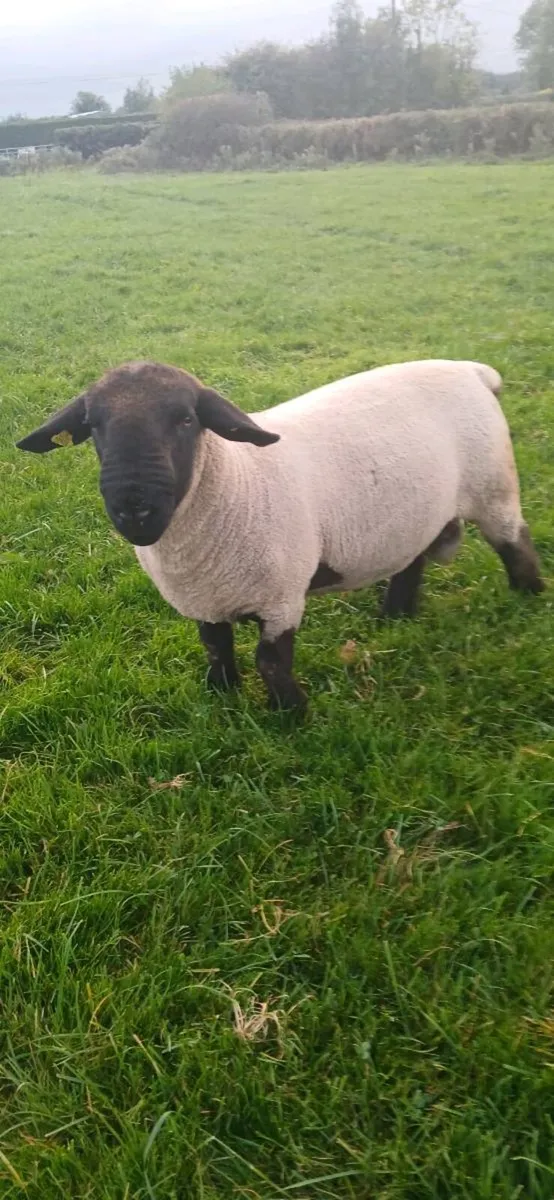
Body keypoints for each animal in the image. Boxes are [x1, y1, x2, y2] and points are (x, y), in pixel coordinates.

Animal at [16, 358, 544, 711]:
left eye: (186, 419)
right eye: (92, 426)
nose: (134, 508)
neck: (235, 480)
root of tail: (471, 370)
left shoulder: (281, 598)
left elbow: (270, 661)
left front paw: (291, 715)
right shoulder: (206, 599)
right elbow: (216, 646)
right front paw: (221, 695)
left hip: (494, 488)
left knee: (516, 546)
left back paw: (529, 600)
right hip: (415, 513)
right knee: (410, 562)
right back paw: (395, 617)